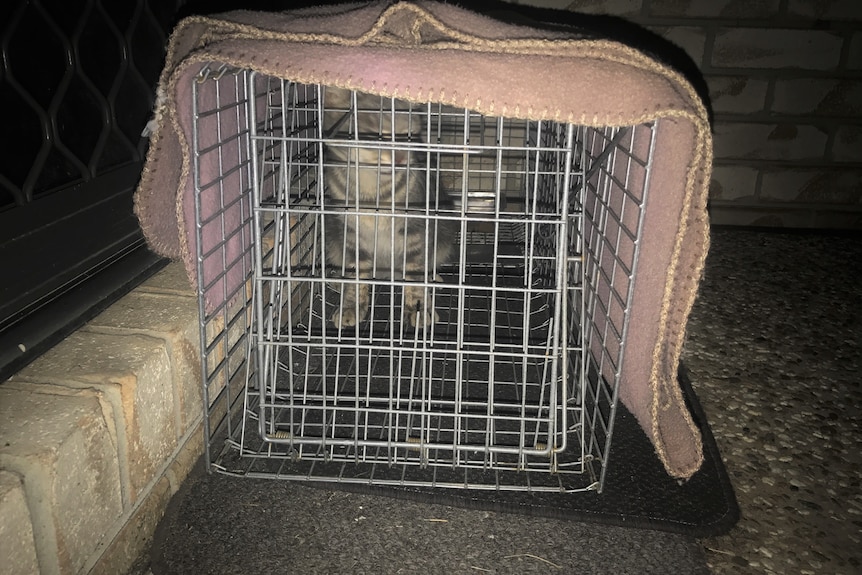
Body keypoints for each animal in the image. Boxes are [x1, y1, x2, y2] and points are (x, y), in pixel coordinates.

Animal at [324, 85, 460, 328]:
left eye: (410, 134)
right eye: (376, 134)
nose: (402, 158)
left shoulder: (415, 230)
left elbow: (414, 275)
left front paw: (418, 309)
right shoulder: (351, 234)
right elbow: (356, 274)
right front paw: (351, 307)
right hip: (333, 240)